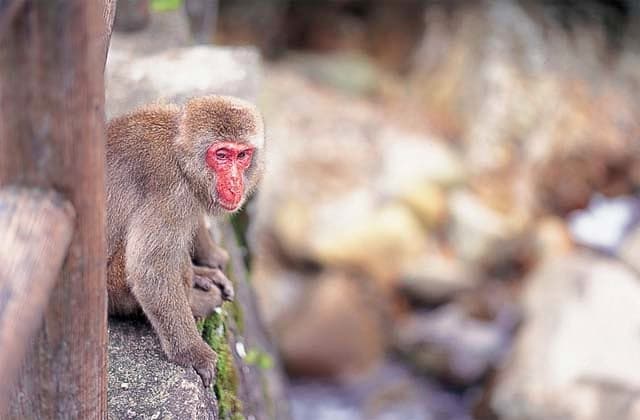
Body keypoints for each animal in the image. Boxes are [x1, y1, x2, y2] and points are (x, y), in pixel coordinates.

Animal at [105, 95, 265, 387]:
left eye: (242, 155)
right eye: (221, 155)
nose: (234, 182)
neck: (180, 154)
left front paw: (212, 256)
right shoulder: (173, 193)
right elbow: (149, 269)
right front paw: (192, 353)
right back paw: (195, 300)